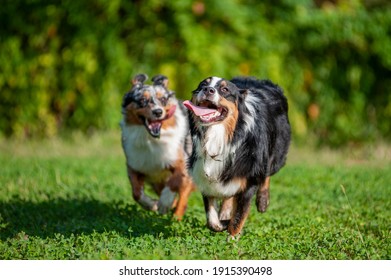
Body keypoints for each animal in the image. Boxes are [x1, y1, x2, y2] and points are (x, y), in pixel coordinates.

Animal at [184, 76, 290, 238]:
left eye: (225, 90)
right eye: (203, 85)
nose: (208, 90)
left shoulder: (249, 177)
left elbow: (239, 215)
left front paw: (232, 237)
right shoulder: (204, 173)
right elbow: (212, 220)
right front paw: (223, 223)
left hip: (276, 152)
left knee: (266, 172)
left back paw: (262, 201)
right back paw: (225, 212)